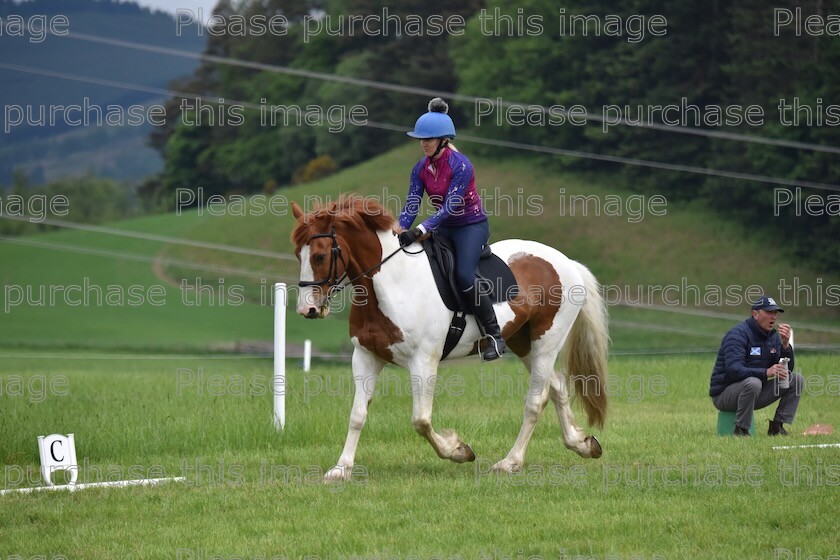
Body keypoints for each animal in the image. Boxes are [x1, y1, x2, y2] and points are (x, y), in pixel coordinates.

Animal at [292, 195, 608, 480]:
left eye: (319, 256)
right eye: (298, 255)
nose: (307, 309)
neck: (390, 285)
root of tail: (567, 262)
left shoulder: (423, 361)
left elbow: (420, 420)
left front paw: (458, 451)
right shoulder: (366, 356)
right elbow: (357, 414)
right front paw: (341, 469)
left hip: (546, 342)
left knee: (536, 400)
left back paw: (510, 462)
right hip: (523, 343)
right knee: (556, 386)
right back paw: (581, 444)